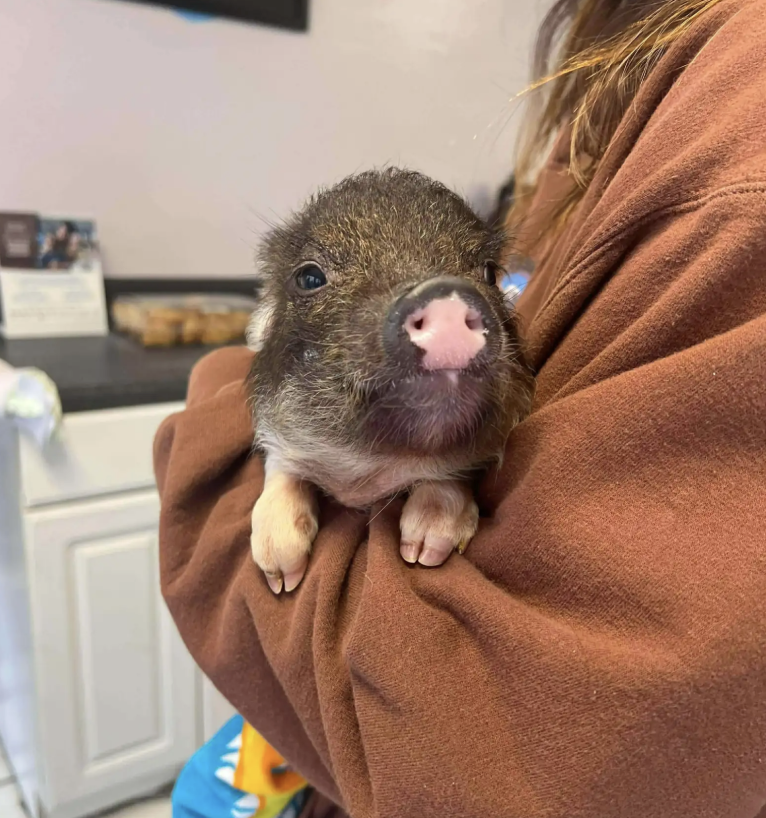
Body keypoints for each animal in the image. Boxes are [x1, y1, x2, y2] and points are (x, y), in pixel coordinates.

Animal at [247, 168, 534, 594]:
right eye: (309, 277)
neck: (367, 475)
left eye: (489, 272)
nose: (444, 293)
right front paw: (282, 580)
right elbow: (281, 467)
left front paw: (422, 555)